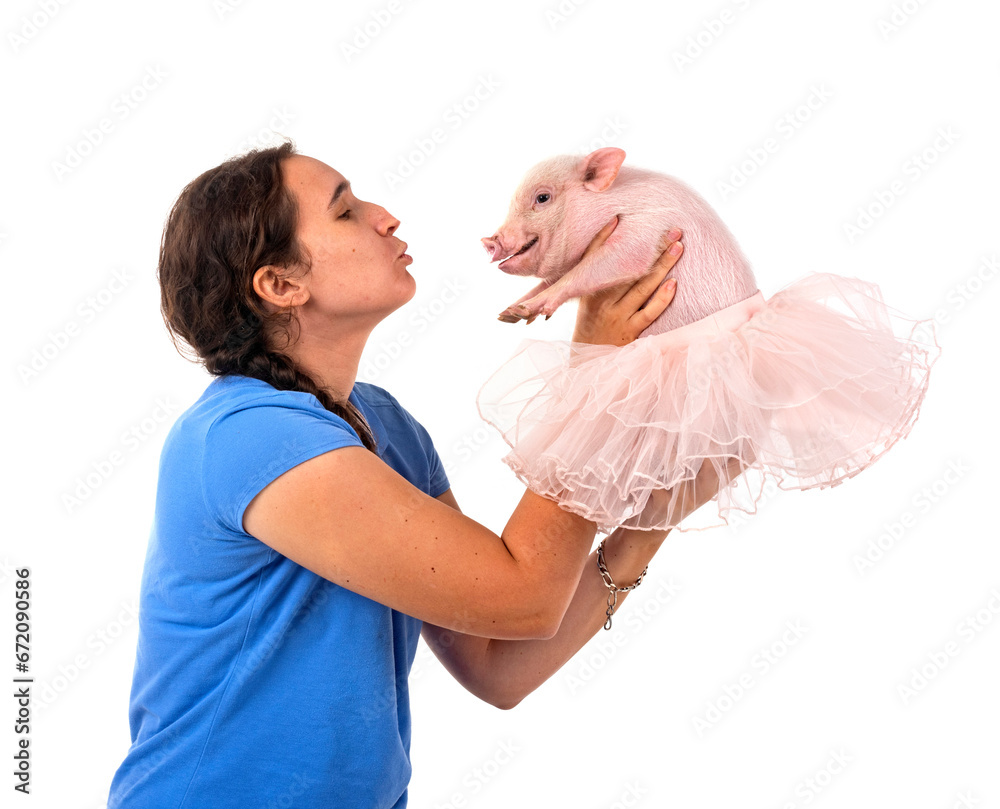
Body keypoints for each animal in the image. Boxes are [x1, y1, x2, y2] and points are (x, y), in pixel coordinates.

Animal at [484, 147, 756, 332]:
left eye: (542, 198)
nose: (488, 242)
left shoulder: (647, 230)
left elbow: (599, 266)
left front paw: (525, 309)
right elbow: (551, 280)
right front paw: (508, 314)